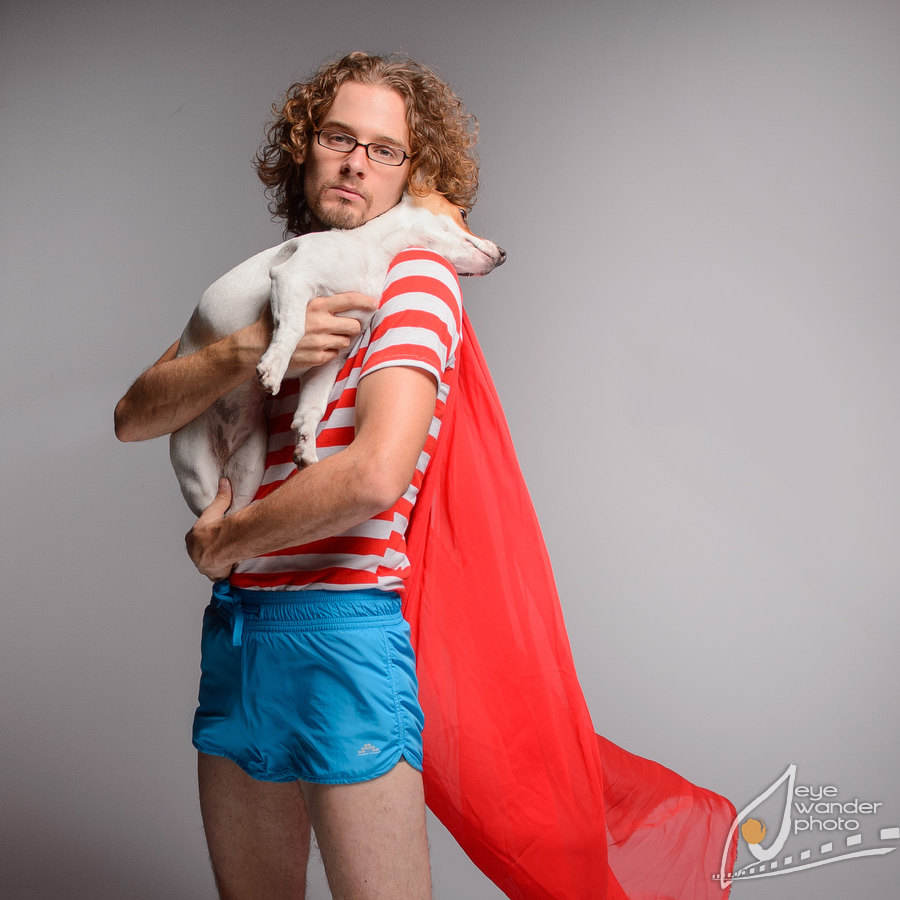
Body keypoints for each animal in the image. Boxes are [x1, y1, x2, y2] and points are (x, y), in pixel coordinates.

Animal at [169, 192, 506, 516]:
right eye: (462, 213)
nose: (504, 254)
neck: (373, 250)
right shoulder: (293, 279)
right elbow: (293, 327)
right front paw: (274, 368)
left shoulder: (329, 358)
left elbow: (312, 408)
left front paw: (306, 444)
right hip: (199, 477)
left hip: (248, 474)